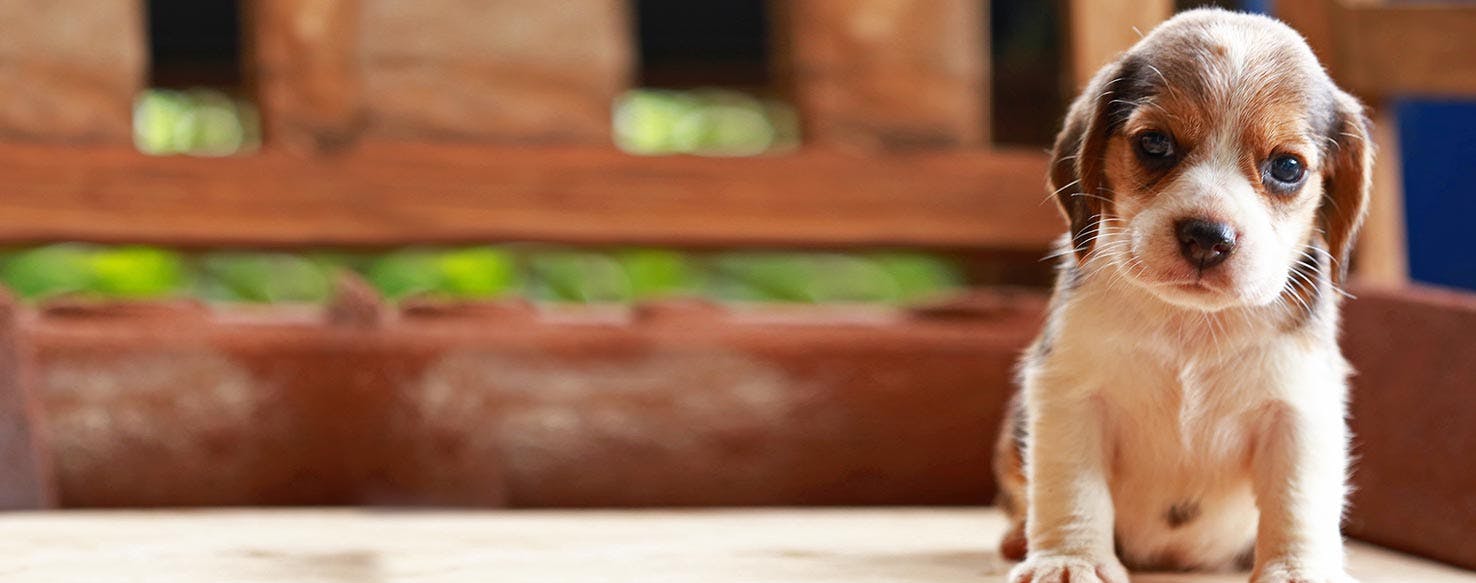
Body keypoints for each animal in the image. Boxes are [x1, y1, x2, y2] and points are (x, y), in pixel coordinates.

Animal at [997, 9, 1375, 583]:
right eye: (1155, 144)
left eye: (1287, 168)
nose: (1207, 236)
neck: (1191, 325)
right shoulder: (1071, 398)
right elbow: (1072, 491)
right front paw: (1069, 559)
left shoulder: (1298, 412)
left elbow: (1297, 502)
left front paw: (1295, 569)